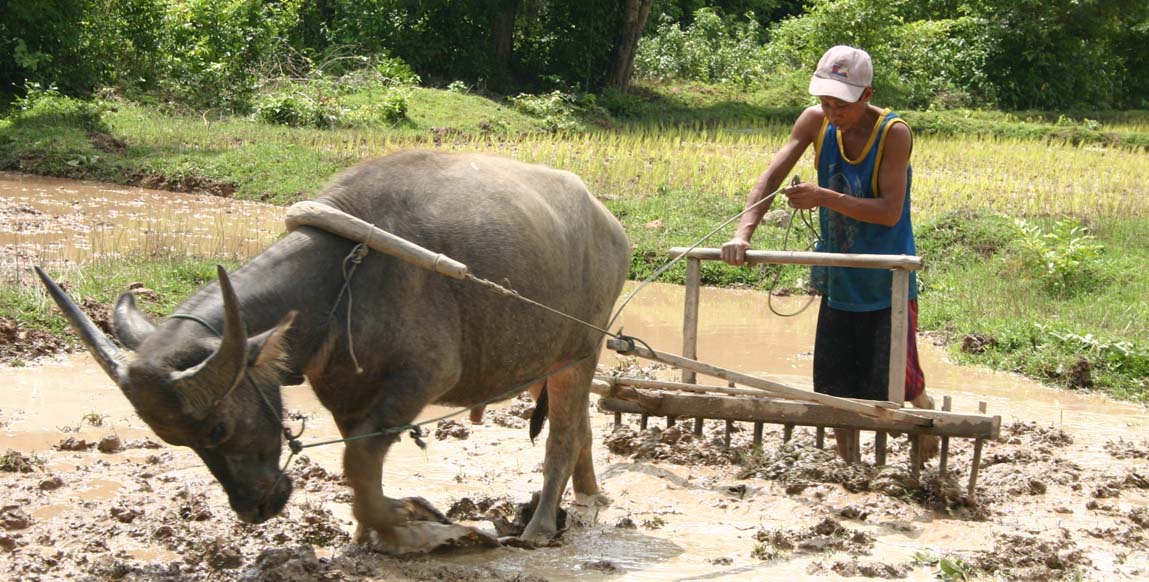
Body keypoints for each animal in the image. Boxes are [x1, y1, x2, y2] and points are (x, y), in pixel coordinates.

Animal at [35, 150, 634, 551]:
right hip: (547, 364)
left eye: (217, 429)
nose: (255, 508)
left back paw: (539, 527)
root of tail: (611, 226)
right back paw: (588, 498)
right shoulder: (346, 391)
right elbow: (358, 462)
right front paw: (381, 525)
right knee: (581, 426)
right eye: (174, 440)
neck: (338, 282)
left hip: (581, 353)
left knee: (563, 435)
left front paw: (413, 528)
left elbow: (361, 461)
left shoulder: (425, 376)